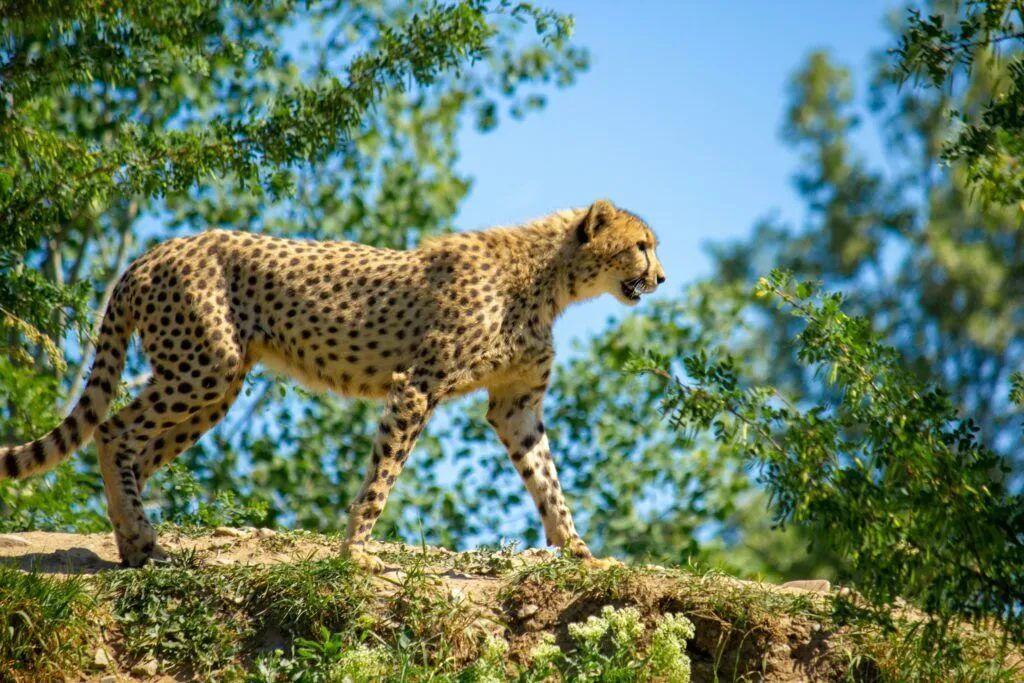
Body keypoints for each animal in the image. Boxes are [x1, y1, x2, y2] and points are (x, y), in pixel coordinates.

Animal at [0, 199, 666, 571]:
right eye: (641, 245)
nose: (660, 277)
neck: (551, 278)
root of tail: (155, 250)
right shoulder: (417, 384)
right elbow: (383, 475)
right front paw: (358, 553)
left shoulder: (516, 404)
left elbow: (547, 480)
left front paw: (578, 551)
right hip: (202, 367)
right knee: (114, 431)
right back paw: (142, 543)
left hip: (215, 384)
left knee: (134, 447)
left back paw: (139, 547)